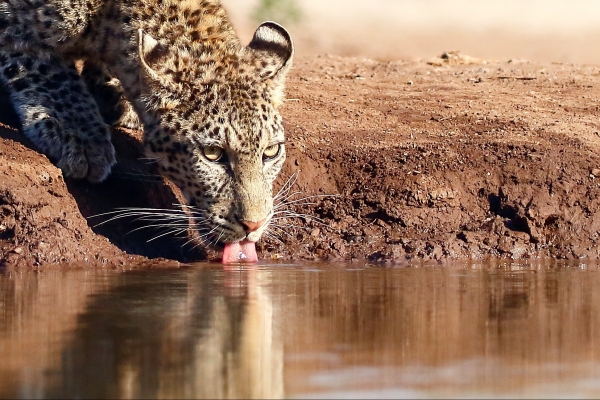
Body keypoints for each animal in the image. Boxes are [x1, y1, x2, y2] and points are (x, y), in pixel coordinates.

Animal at [0, 0, 296, 262]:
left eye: (271, 151)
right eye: (212, 153)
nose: (254, 225)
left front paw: (111, 93)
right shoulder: (15, 23)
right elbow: (44, 70)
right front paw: (80, 136)